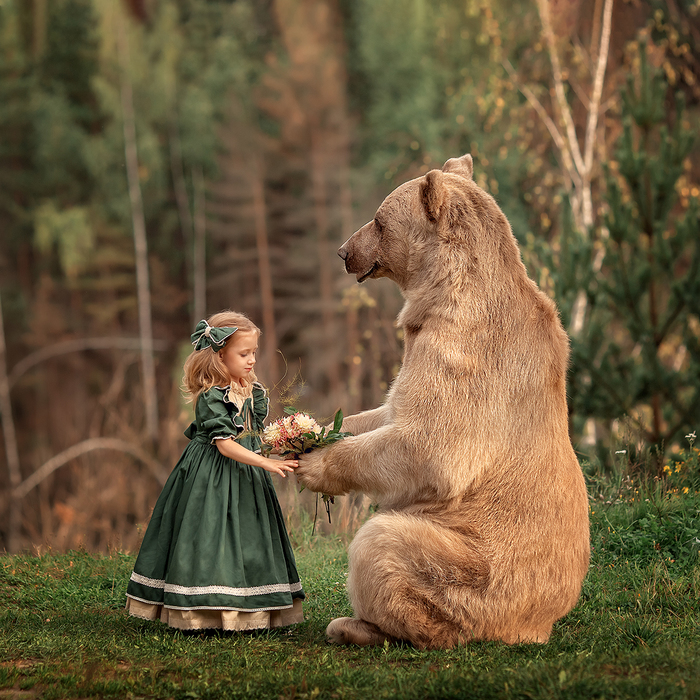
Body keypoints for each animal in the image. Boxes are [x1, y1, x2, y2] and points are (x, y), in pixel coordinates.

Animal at [296, 153, 590, 650]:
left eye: (378, 220)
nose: (343, 251)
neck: (440, 293)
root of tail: (538, 624)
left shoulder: (461, 352)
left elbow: (431, 444)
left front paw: (314, 464)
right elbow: (386, 411)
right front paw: (303, 431)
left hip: (474, 571)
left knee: (382, 544)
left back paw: (360, 626)